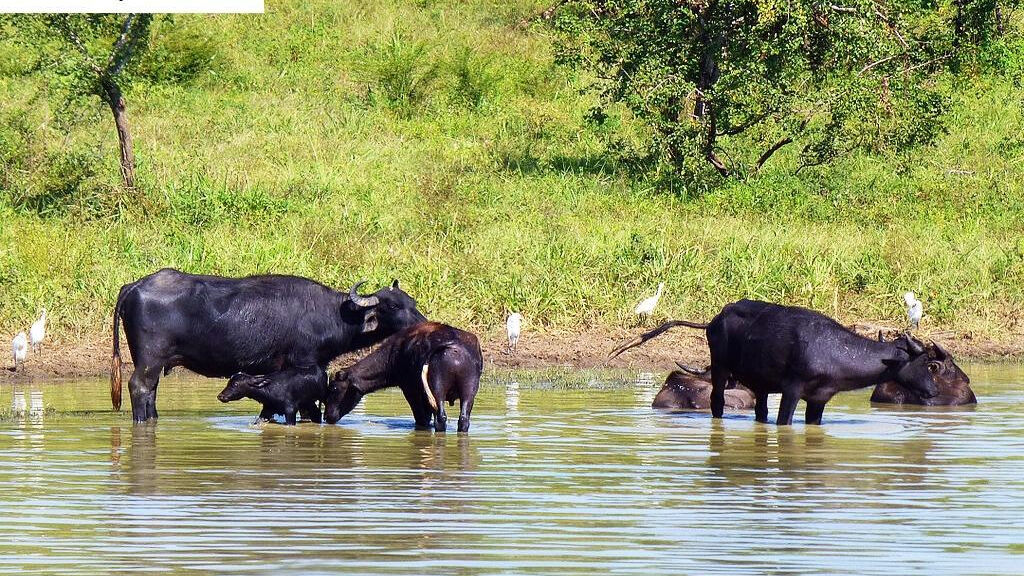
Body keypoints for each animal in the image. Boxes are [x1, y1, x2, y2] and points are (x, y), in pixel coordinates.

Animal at [112, 266, 428, 420]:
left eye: (411, 302)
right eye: (393, 306)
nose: (423, 322)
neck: (331, 314)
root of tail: (134, 286)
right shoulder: (303, 365)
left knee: (151, 392)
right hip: (150, 360)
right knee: (138, 387)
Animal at [325, 317, 481, 430]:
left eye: (333, 387)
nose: (327, 416)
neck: (395, 354)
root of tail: (454, 349)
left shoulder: (410, 390)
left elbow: (422, 419)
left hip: (437, 389)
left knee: (441, 418)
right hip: (469, 390)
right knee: (463, 419)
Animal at [606, 297, 958, 424]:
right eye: (925, 363)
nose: (932, 391)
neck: (836, 352)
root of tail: (714, 319)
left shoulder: (819, 399)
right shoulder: (791, 390)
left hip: (759, 385)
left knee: (760, 411)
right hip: (720, 369)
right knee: (718, 402)